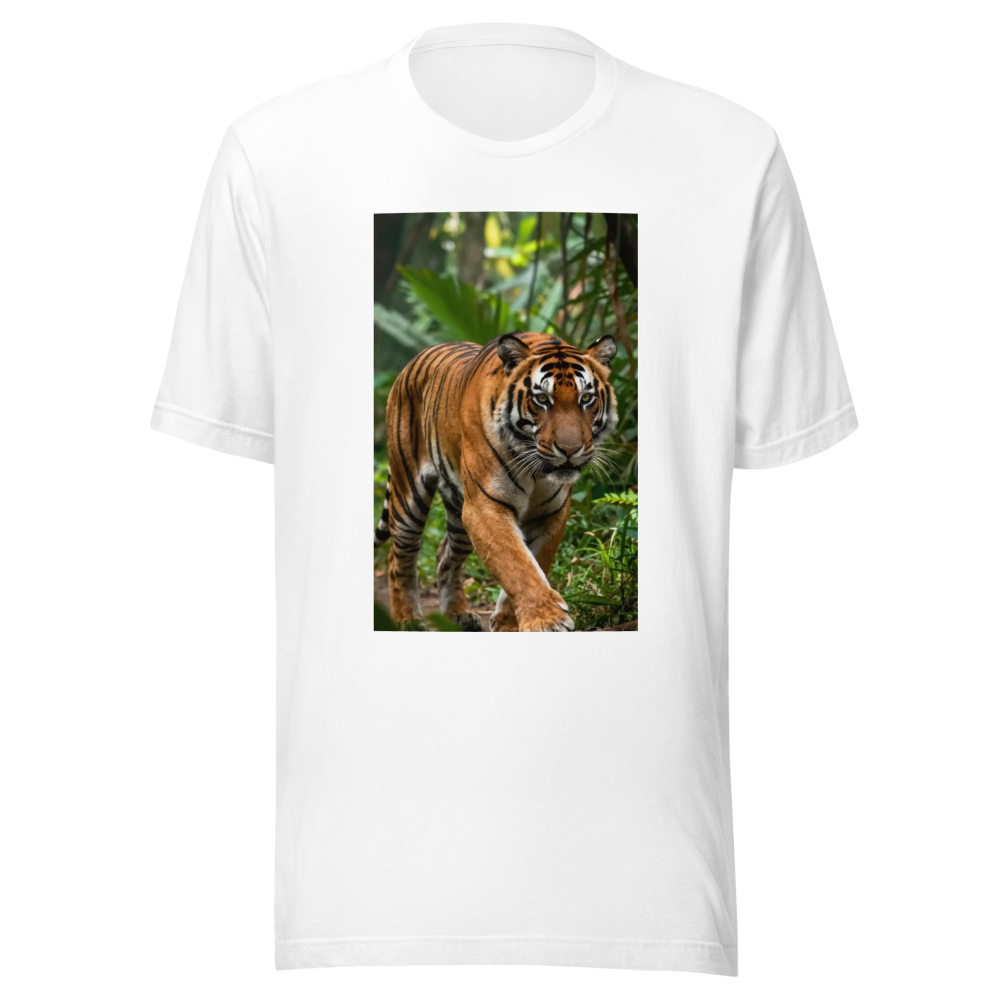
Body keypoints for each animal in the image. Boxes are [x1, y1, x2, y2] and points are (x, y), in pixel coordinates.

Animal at [375, 331, 618, 632]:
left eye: (586, 398)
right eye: (542, 398)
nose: (570, 450)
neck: (537, 471)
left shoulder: (552, 513)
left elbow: (534, 562)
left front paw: (508, 623)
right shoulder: (484, 507)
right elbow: (516, 564)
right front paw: (547, 620)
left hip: (459, 513)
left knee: (445, 556)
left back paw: (458, 614)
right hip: (408, 495)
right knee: (398, 558)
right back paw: (407, 619)